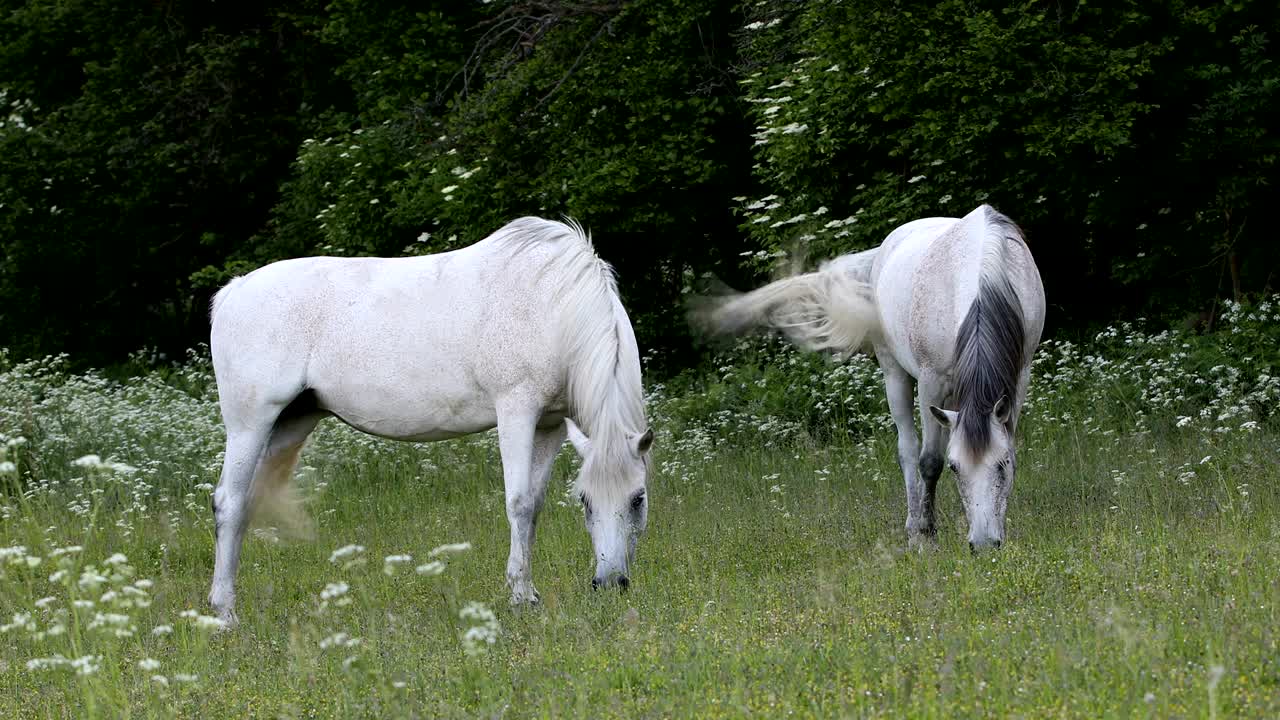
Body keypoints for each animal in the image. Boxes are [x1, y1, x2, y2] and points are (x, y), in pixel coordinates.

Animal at [207, 217, 653, 625]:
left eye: (637, 499)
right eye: (586, 501)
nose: (609, 583)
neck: (554, 303)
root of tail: (233, 291)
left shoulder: (549, 425)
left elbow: (535, 505)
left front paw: (529, 593)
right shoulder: (516, 412)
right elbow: (519, 503)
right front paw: (519, 595)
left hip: (290, 423)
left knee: (247, 502)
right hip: (249, 426)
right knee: (229, 502)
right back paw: (224, 613)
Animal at [698, 204, 1044, 550]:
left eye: (1003, 464)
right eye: (955, 467)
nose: (984, 544)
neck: (980, 277)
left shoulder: (1019, 378)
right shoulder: (930, 383)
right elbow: (930, 461)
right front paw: (926, 535)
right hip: (895, 374)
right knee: (908, 449)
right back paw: (913, 525)